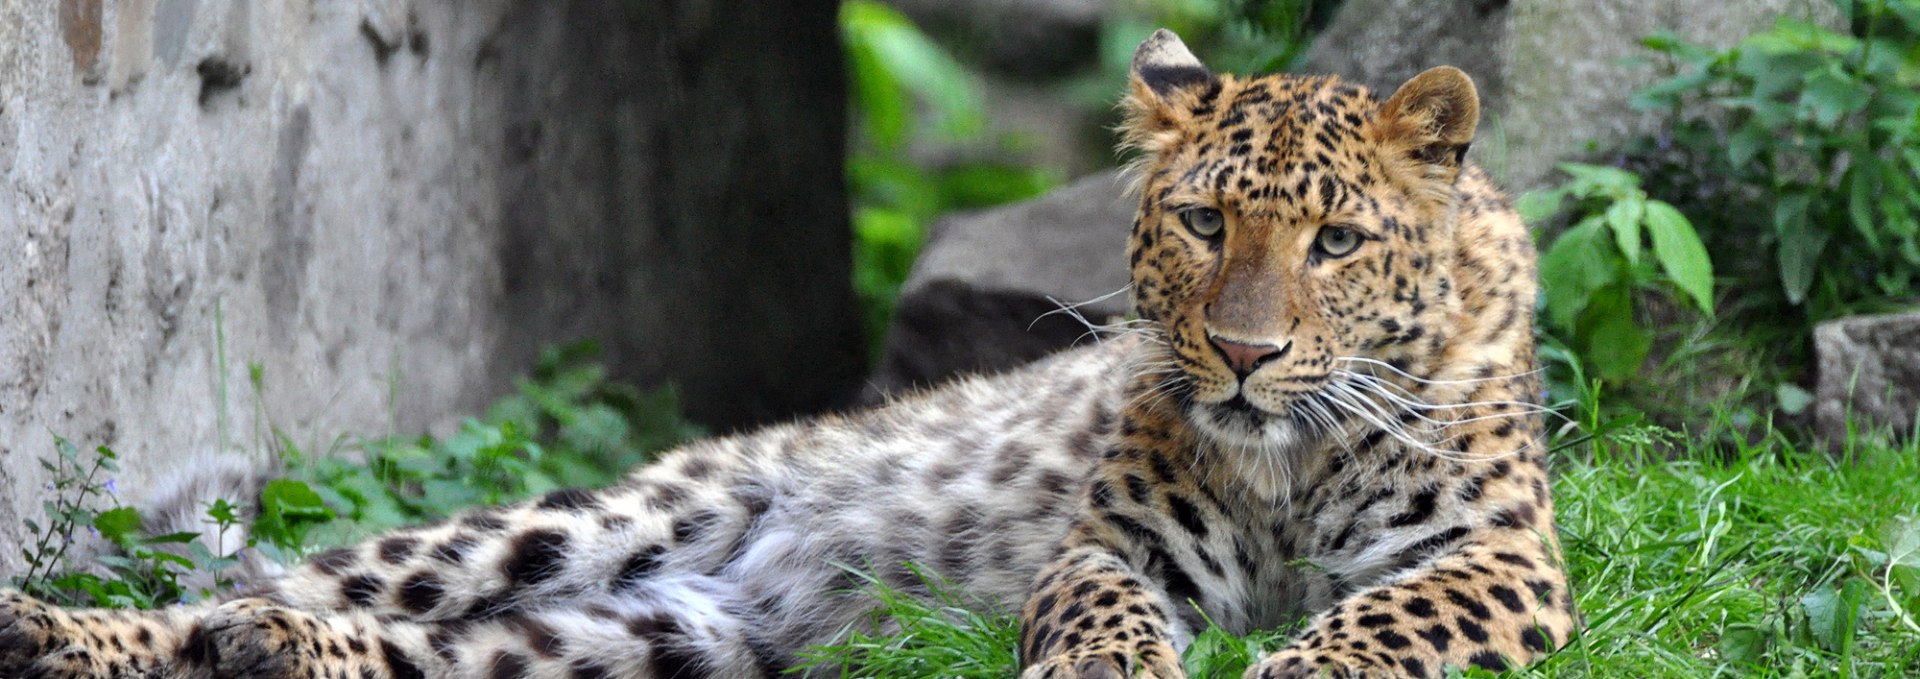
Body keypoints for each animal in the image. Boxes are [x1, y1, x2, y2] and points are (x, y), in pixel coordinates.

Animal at [0, 29, 1574, 679]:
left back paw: (260, 654)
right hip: (587, 520)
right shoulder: (1111, 545)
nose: (1244, 355)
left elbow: (1375, 623)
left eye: (1337, 243)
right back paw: (75, 630)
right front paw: (1107, 674)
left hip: (646, 643)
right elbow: (1100, 613)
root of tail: (759, 581)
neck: (1285, 460)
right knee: (273, 579)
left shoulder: (1501, 556)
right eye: (1200, 221)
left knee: (403, 650)